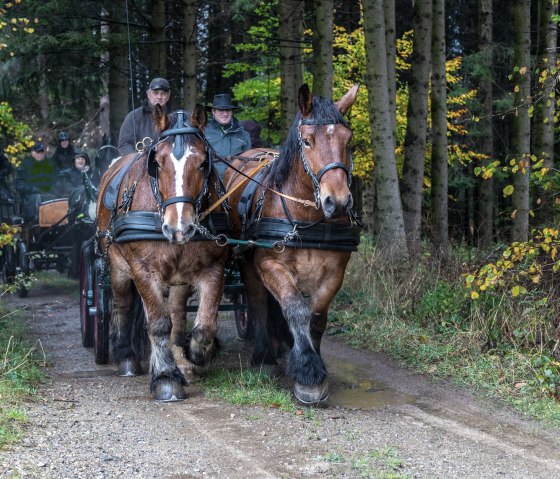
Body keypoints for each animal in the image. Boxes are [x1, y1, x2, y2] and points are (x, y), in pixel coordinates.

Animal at [96, 105, 228, 402]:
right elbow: (157, 323)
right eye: (157, 163)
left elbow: (205, 325)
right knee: (122, 305)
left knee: (177, 313)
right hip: (116, 266)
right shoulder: (142, 270)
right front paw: (166, 377)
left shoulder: (213, 266)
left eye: (203, 163)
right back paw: (127, 358)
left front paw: (194, 355)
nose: (179, 227)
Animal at [223, 83, 358, 404]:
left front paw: (313, 370)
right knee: (257, 301)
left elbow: (317, 316)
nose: (338, 202)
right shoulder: (270, 264)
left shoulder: (335, 272)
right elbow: (296, 310)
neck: (308, 217)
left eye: (348, 141)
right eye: (307, 141)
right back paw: (264, 356)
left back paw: (282, 344)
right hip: (247, 260)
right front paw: (307, 370)